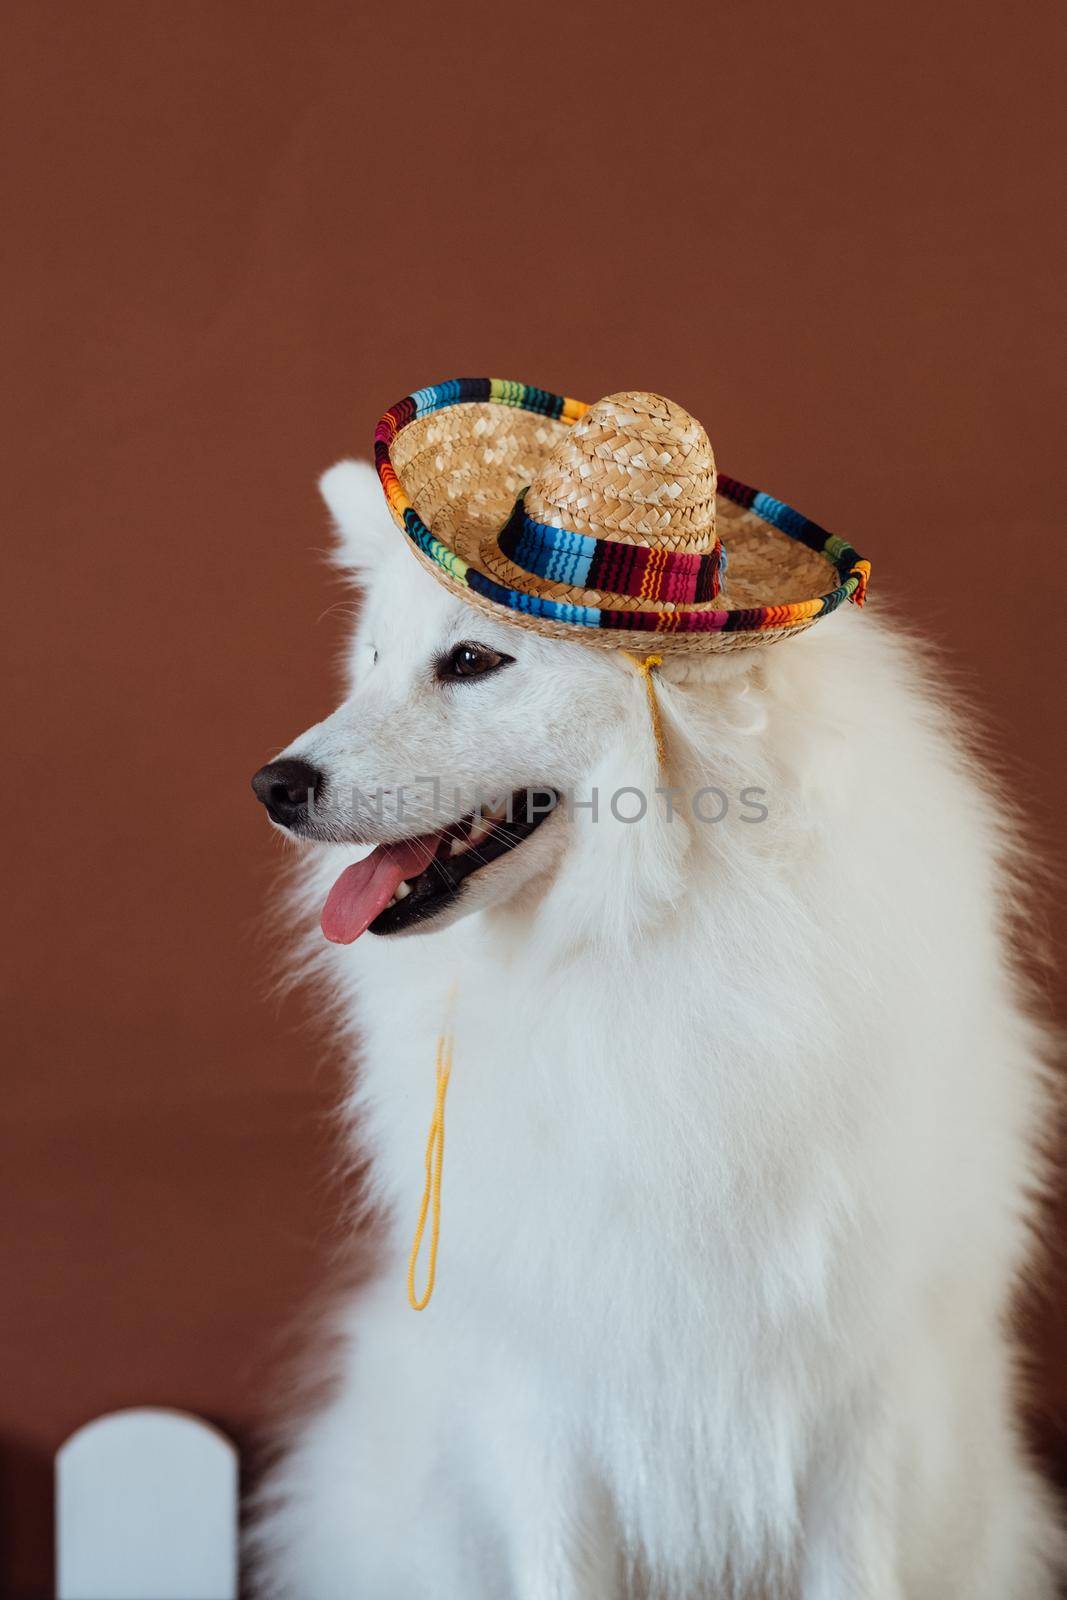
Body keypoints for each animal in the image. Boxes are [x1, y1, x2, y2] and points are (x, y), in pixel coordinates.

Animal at [247, 457, 1062, 1593]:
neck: (635, 941)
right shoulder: (540, 1391)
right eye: (370, 661)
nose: (272, 785)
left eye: (471, 661)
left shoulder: (857, 1395)